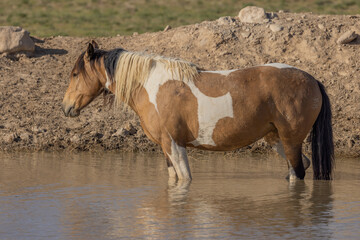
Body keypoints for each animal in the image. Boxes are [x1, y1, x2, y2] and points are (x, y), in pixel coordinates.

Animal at [62, 41, 334, 180]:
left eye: (75, 74)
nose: (66, 107)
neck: (151, 85)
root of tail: (312, 80)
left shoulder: (174, 144)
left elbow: (184, 179)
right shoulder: (166, 148)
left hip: (290, 141)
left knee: (298, 171)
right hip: (276, 139)